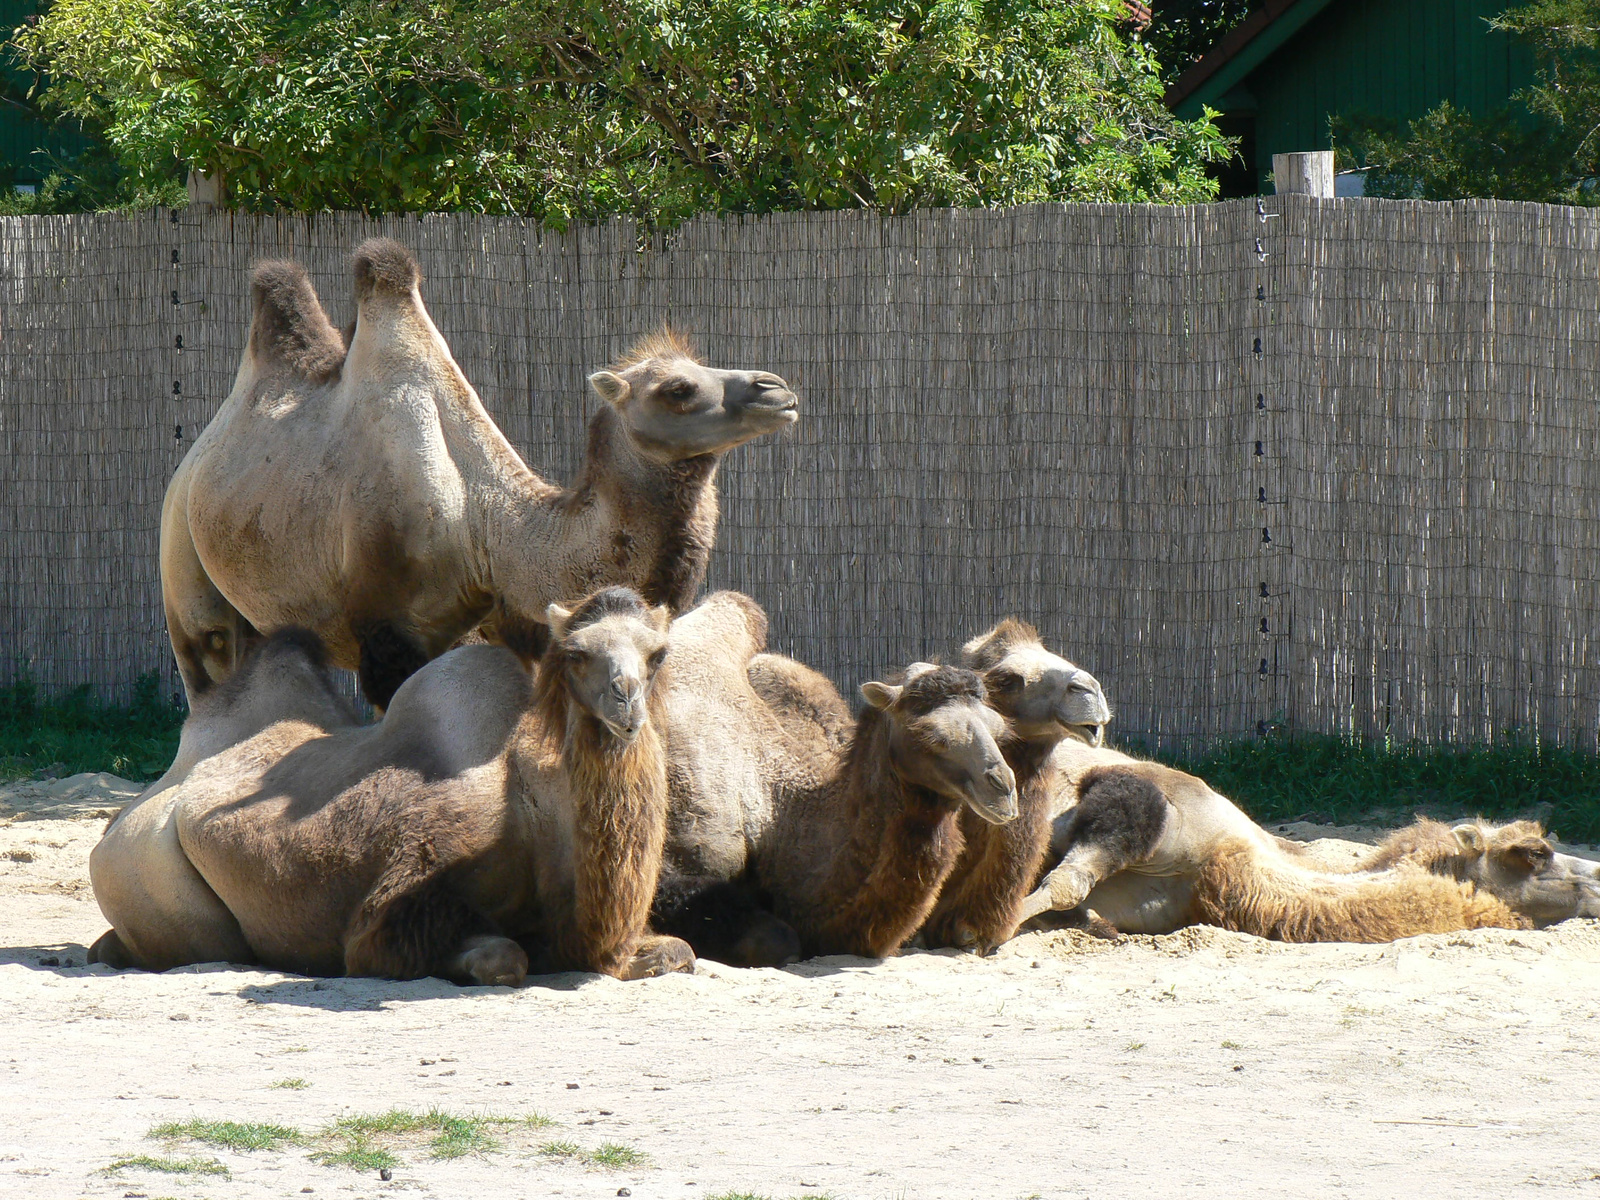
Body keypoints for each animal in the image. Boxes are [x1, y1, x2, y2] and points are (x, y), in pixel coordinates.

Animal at [84, 585, 691, 985]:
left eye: (658, 654)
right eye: (576, 654)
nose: (626, 702)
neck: (538, 809)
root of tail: (116, 823)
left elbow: (678, 951)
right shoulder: (400, 899)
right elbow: (499, 957)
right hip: (147, 874)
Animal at [162, 240, 800, 710]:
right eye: (677, 389)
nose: (778, 390)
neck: (481, 520)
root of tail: (190, 466)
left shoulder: (504, 625)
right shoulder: (388, 636)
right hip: (184, 575)